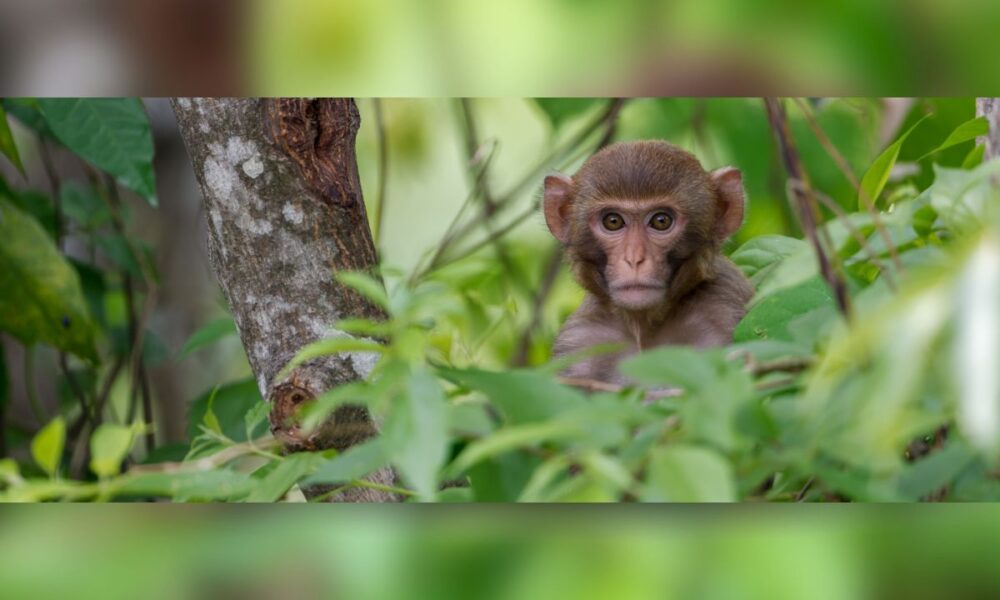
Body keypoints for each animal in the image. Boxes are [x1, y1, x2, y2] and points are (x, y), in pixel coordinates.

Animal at [544, 140, 754, 384]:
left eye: (661, 221)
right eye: (613, 221)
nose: (634, 259)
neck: (642, 326)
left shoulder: (722, 310)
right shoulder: (580, 341)